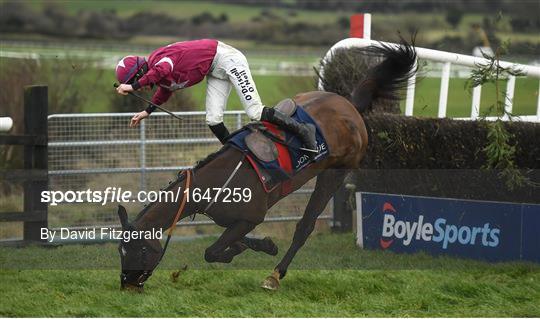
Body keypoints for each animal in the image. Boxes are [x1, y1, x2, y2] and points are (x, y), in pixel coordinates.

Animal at [116, 37, 416, 292]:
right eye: (120, 250)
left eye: (140, 249)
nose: (127, 285)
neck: (213, 184)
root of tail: (350, 106)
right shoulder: (233, 221)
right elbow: (232, 243)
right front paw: (262, 244)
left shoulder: (252, 216)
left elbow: (211, 252)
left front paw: (246, 250)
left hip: (334, 172)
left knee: (304, 226)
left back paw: (275, 275)